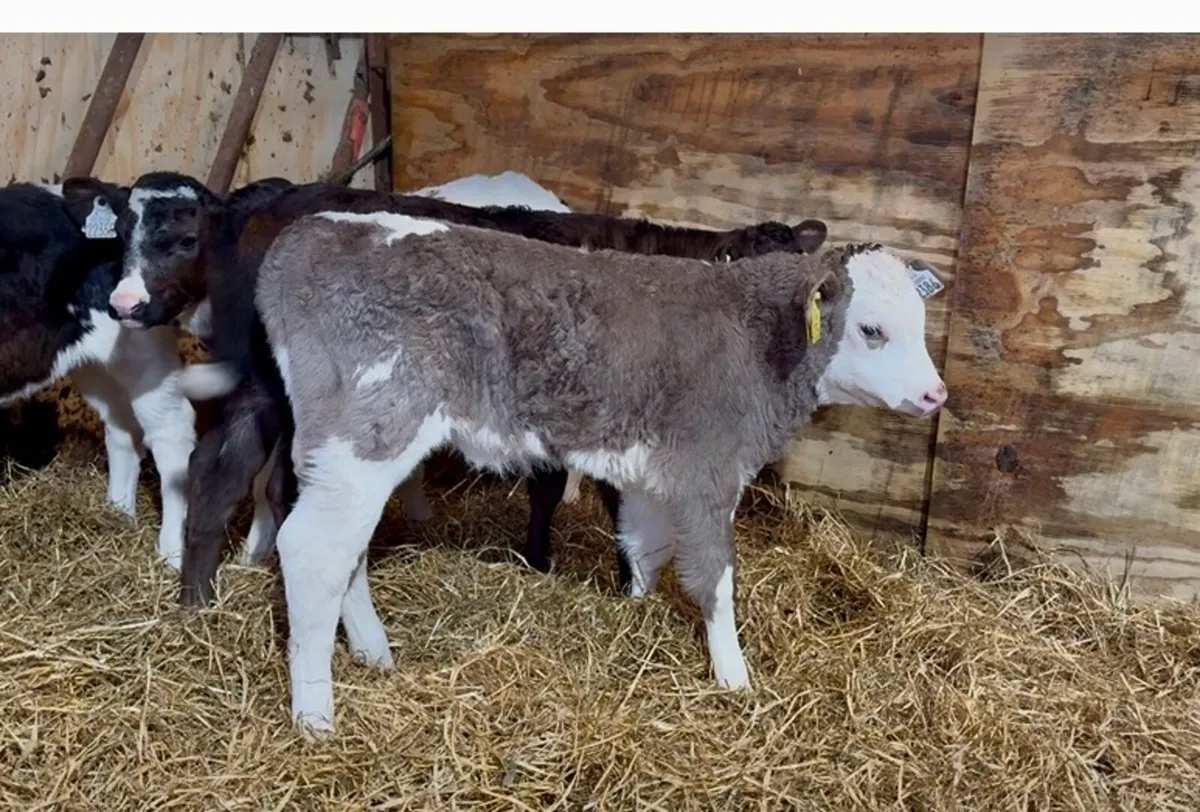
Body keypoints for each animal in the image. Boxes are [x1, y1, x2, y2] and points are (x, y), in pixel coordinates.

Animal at [0, 179, 196, 567]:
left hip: (144, 352)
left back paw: (171, 554)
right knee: (122, 428)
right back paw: (118, 513)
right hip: (96, 363)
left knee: (172, 432)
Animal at [105, 173, 830, 607]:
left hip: (267, 385)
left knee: (219, 463)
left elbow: (549, 486)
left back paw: (198, 596)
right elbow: (608, 501)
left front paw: (539, 560)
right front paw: (626, 584)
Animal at [239, 213, 947, 733]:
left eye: (920, 323)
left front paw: (633, 606)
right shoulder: (710, 469)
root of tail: (310, 234)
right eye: (872, 330)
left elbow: (645, 545)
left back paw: (373, 654)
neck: (754, 337)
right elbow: (713, 577)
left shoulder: (651, 469)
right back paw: (315, 716)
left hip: (343, 456)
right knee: (312, 552)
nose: (935, 394)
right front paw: (734, 676)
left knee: (346, 553)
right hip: (368, 435)